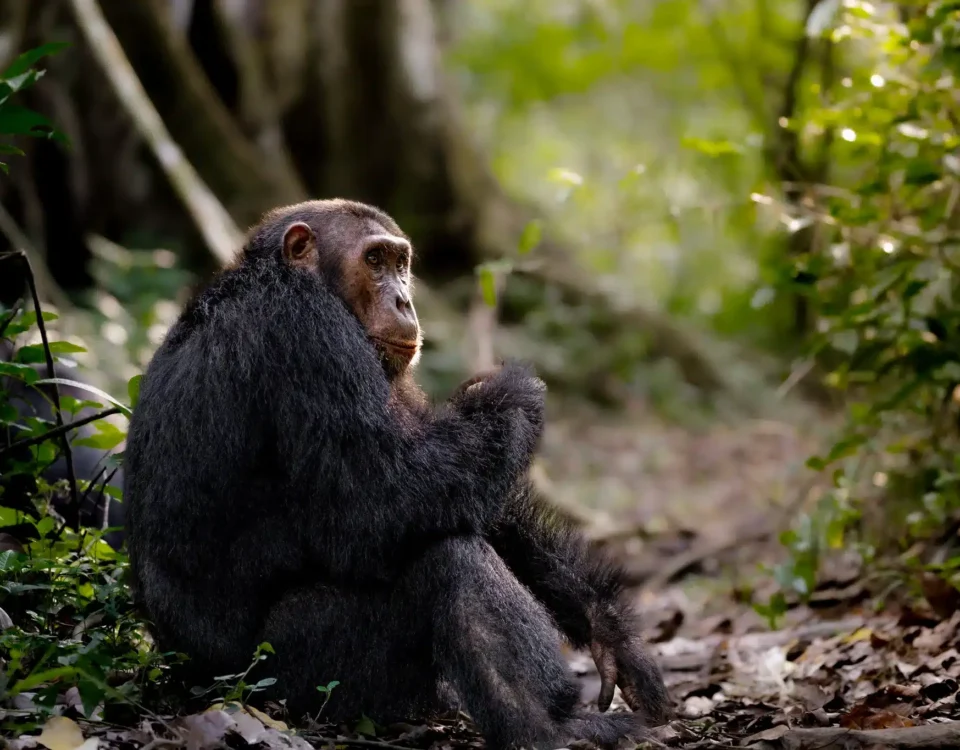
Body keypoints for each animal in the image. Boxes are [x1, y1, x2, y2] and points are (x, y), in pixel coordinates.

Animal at [124, 199, 669, 749]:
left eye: (400, 263)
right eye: (374, 261)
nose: (405, 300)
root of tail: (189, 680)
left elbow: (456, 491)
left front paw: (609, 629)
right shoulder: (307, 332)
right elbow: (383, 503)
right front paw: (512, 391)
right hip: (297, 673)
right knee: (447, 561)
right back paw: (553, 726)